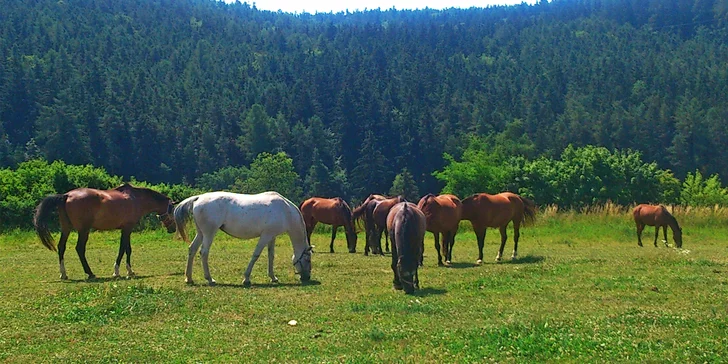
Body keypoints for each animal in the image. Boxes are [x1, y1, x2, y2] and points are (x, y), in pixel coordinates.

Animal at [33, 183, 177, 280]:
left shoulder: (126, 229)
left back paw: (63, 274)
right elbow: (123, 249)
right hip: (83, 230)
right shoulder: (127, 229)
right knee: (80, 248)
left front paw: (129, 271)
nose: (173, 229)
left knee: (61, 247)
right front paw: (117, 271)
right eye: (172, 210)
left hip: (66, 229)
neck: (136, 199)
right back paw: (90, 273)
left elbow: (127, 249)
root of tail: (66, 195)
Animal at [177, 191, 316, 288]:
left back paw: (189, 278)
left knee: (192, 249)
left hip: (201, 233)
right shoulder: (265, 236)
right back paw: (210, 279)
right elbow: (256, 255)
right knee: (204, 253)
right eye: (308, 259)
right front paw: (246, 279)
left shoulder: (272, 236)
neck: (285, 211)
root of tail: (198, 198)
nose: (307, 277)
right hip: (209, 233)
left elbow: (271, 256)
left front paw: (273, 277)